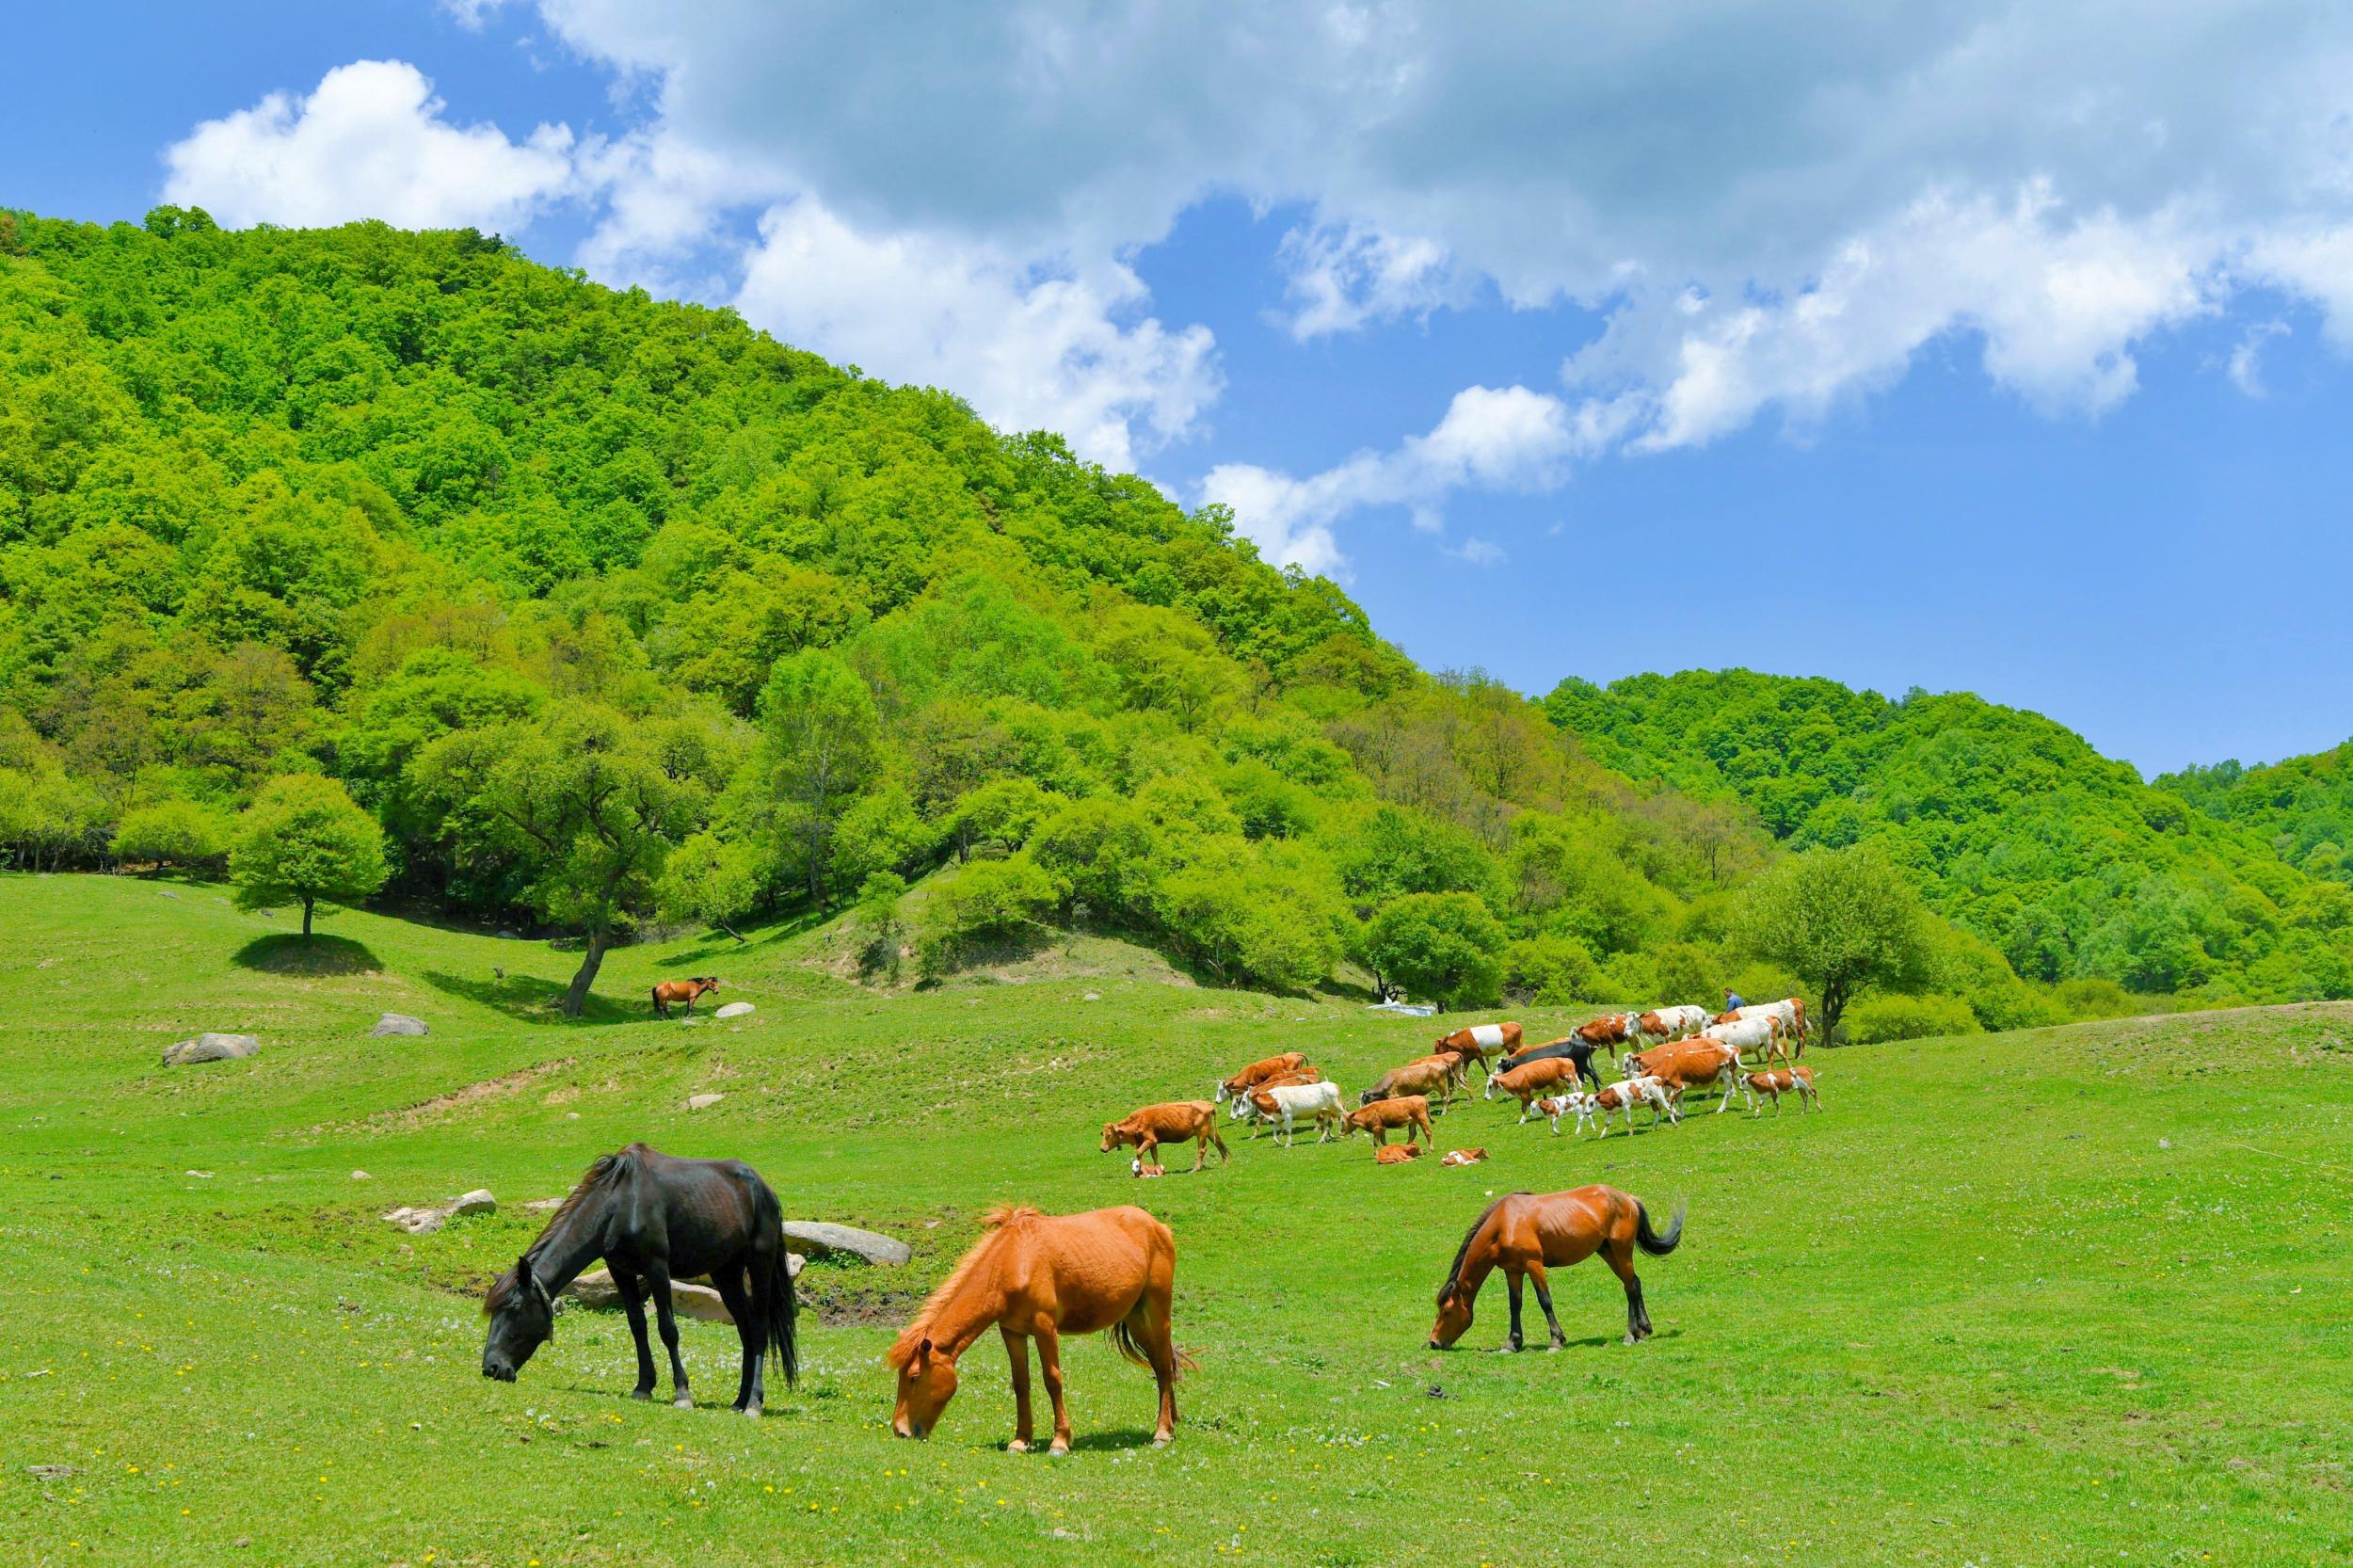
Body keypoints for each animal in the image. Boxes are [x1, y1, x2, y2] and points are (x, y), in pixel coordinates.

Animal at [480, 1144, 800, 1412]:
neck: (620, 1204)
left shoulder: (656, 1268)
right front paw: (644, 1387)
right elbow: (637, 1327)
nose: (491, 1368)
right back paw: (739, 1401)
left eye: (515, 1309)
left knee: (759, 1328)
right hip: (726, 1273)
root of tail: (765, 1191)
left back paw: (754, 1403)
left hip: (759, 1265)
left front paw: (682, 1393)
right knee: (745, 1330)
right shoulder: (620, 1271)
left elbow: (668, 1330)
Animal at [885, 1200, 1195, 1449]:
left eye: (913, 1377)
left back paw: (1162, 1434)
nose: (900, 1431)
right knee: (1160, 1364)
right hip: (1135, 1317)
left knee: (1163, 1366)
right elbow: (1021, 1383)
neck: (1012, 1261)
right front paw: (1021, 1440)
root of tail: (1159, 1227)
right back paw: (1171, 1423)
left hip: (1157, 1312)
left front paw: (1060, 1441)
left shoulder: (1045, 1327)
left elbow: (1052, 1379)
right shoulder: (1012, 1331)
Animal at [1101, 1096, 1233, 1172]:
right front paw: (1158, 1171)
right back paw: (1225, 1165)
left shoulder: (1150, 1140)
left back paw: (1195, 1169)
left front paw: (1141, 1170)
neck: (1138, 1120)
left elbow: (1139, 1152)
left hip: (1201, 1133)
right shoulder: (1153, 1142)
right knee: (1218, 1142)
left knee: (1202, 1149)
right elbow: (1154, 1156)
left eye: (1109, 1135)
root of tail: (1208, 1104)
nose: (1102, 1148)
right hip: (1209, 1131)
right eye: (1102, 1133)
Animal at [1421, 1176, 1685, 1346]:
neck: (1505, 1224)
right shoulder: (1512, 1271)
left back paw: (1631, 1334)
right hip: (1608, 1252)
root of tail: (1628, 1198)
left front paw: (1556, 1340)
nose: (1433, 1342)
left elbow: (1544, 1301)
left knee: (1630, 1287)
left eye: (1446, 1311)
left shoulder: (1534, 1265)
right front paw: (1512, 1343)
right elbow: (1515, 1304)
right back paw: (1644, 1330)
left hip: (1621, 1251)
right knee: (1634, 1283)